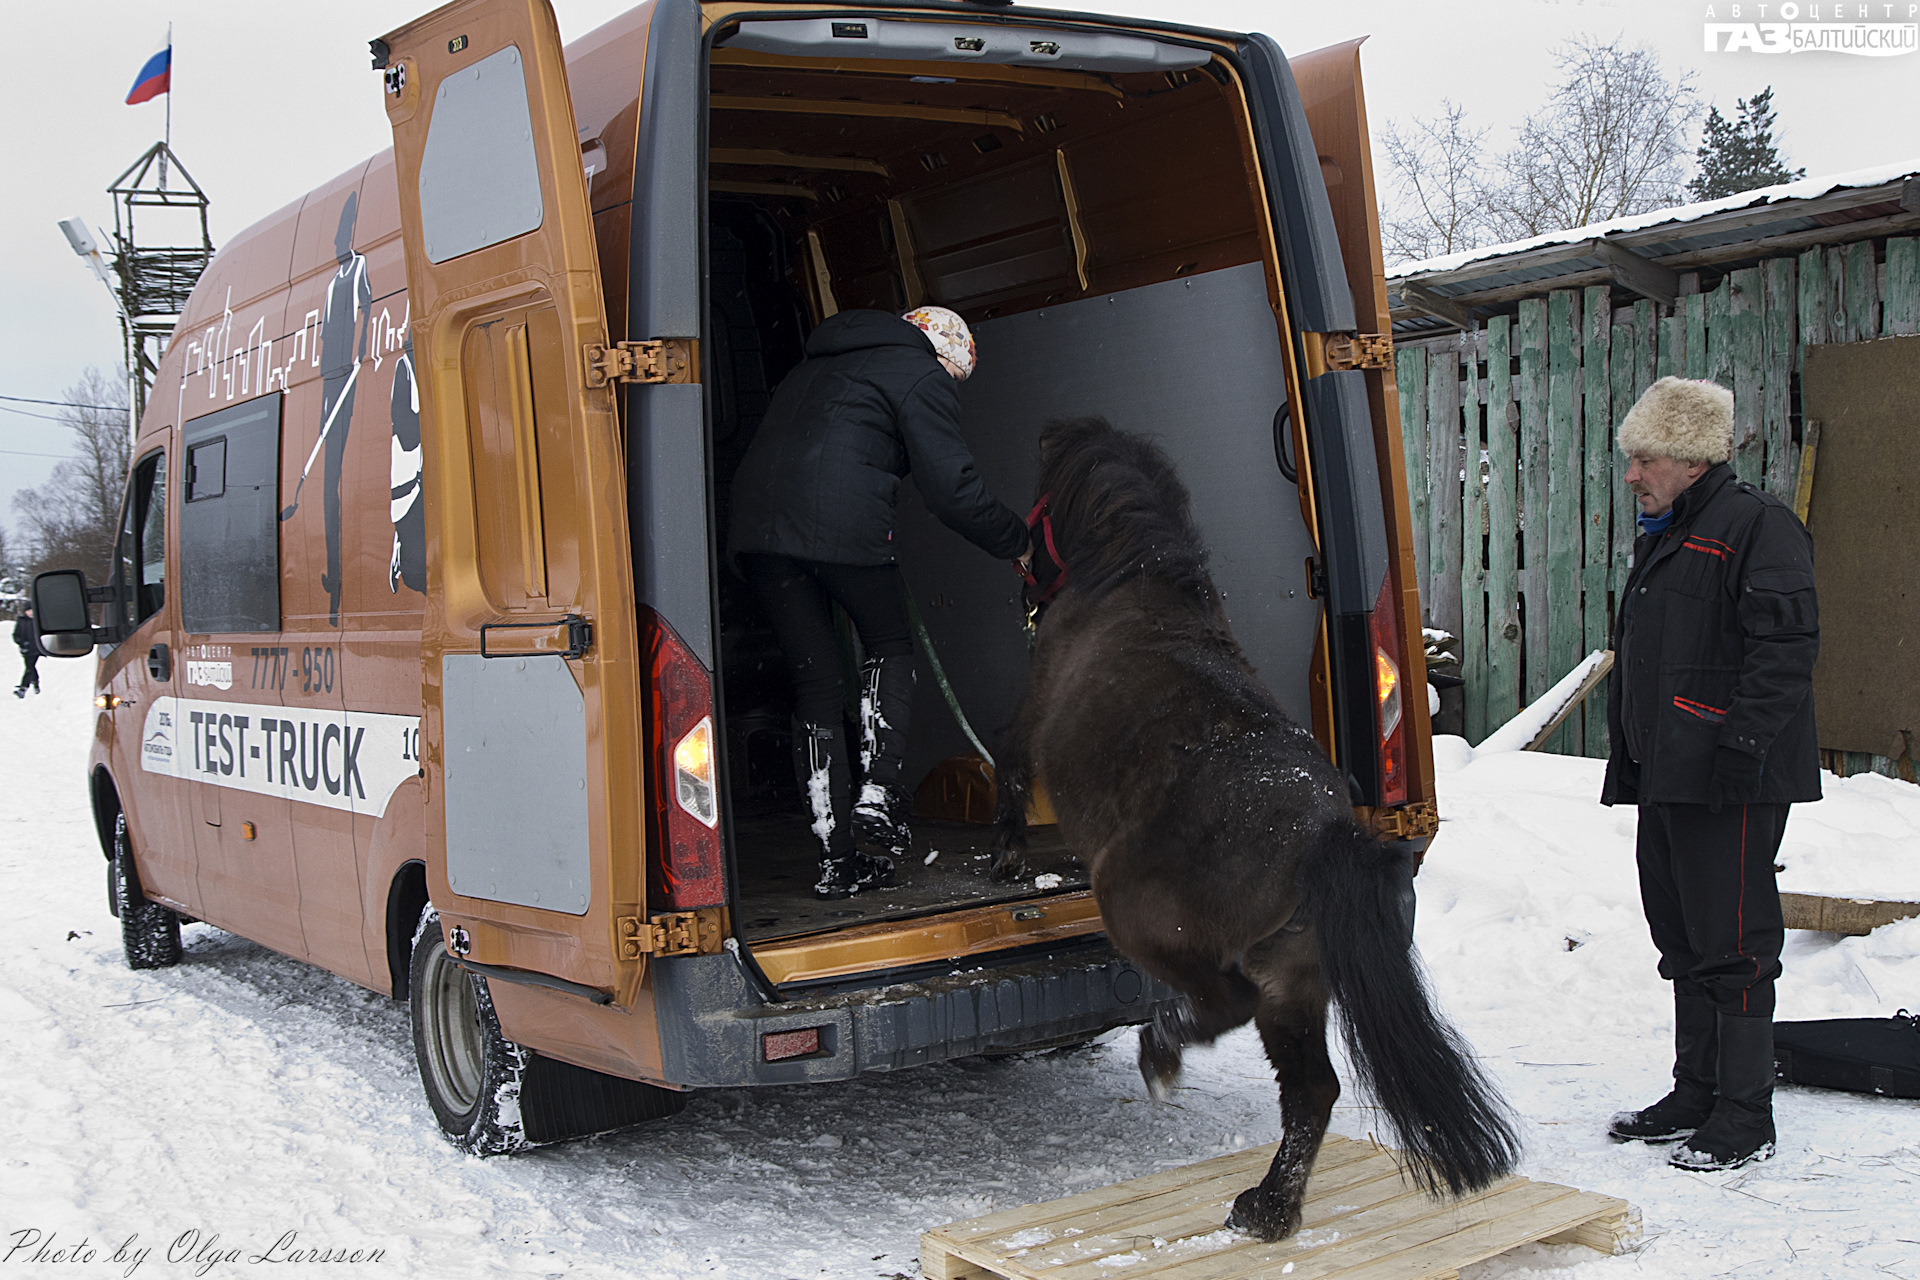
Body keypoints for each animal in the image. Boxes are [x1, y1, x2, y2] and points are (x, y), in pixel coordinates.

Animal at [990, 418, 1512, 1243]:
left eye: (1036, 511)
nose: (1019, 578)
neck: (1134, 578)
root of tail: (1323, 837)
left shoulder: (1034, 714)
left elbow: (1006, 757)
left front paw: (1008, 848)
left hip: (1151, 923)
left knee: (1224, 1005)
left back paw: (1162, 1058)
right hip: (1293, 984)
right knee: (1312, 1091)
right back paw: (1266, 1209)